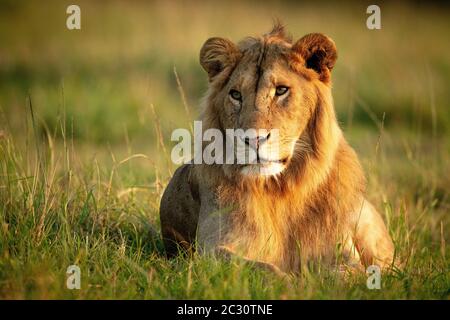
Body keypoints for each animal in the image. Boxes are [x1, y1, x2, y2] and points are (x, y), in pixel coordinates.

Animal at [159, 23, 394, 274]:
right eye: (235, 95)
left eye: (281, 90)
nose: (253, 139)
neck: (280, 190)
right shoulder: (210, 250)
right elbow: (264, 269)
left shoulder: (340, 250)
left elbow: (347, 272)